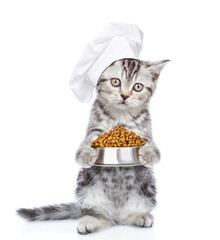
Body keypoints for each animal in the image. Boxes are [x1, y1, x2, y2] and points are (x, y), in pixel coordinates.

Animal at [17, 58, 168, 234]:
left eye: (138, 87)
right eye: (115, 82)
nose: (124, 95)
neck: (121, 118)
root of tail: (117, 213)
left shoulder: (144, 132)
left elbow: (150, 143)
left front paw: (150, 154)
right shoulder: (95, 129)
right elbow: (89, 141)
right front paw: (85, 154)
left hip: (147, 189)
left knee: (127, 216)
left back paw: (139, 216)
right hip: (86, 187)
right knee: (102, 215)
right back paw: (91, 220)